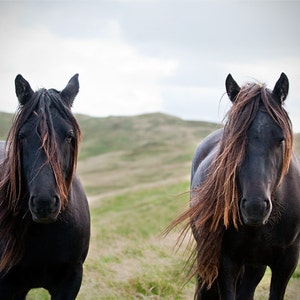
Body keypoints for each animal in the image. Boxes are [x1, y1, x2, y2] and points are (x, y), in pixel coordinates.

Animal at [170, 73, 298, 300]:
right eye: (233, 140)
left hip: (254, 265)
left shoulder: (287, 262)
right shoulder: (225, 260)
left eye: (280, 139)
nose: (255, 207)